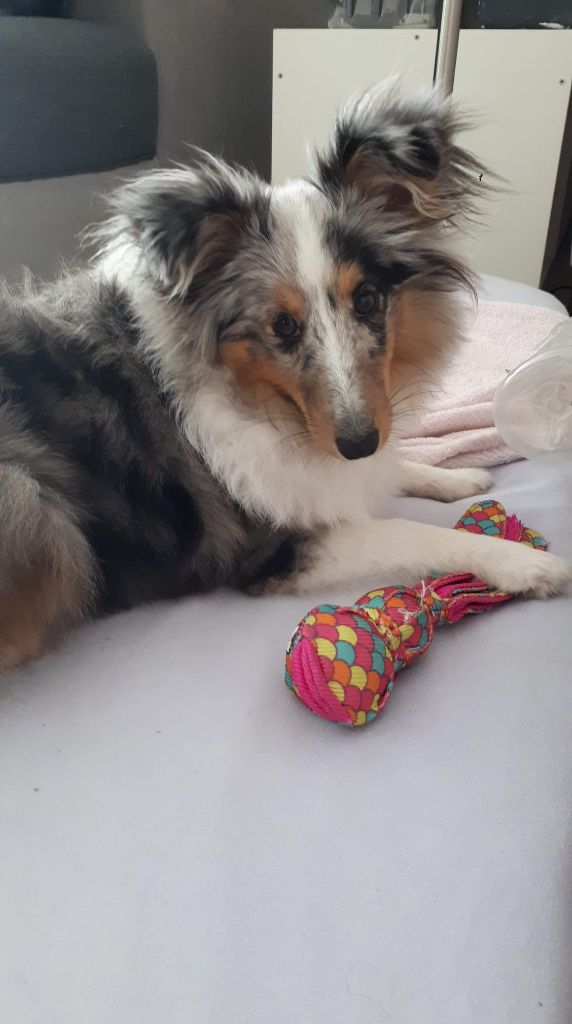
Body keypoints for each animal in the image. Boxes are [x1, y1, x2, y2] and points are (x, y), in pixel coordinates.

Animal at [0, 79, 569, 670]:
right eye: (283, 326)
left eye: (368, 299)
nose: (358, 444)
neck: (267, 406)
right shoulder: (273, 548)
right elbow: (408, 531)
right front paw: (524, 563)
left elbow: (396, 468)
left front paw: (457, 476)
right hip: (32, 505)